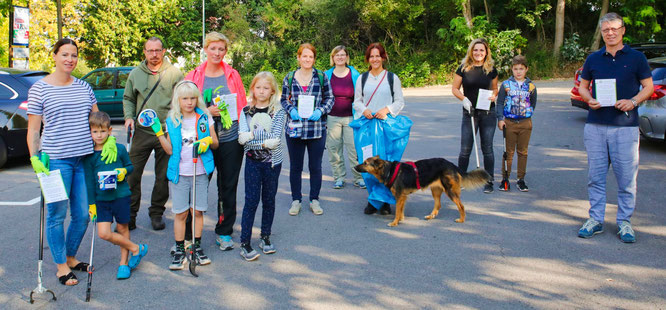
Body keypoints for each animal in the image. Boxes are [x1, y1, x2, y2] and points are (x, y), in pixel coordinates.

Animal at [352, 156, 488, 226]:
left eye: (365, 163)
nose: (354, 166)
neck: (388, 170)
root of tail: (452, 164)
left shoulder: (400, 196)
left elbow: (397, 212)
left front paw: (395, 222)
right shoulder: (403, 197)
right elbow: (401, 211)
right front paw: (401, 220)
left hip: (450, 191)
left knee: (461, 206)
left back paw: (462, 220)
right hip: (435, 190)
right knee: (438, 205)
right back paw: (431, 216)